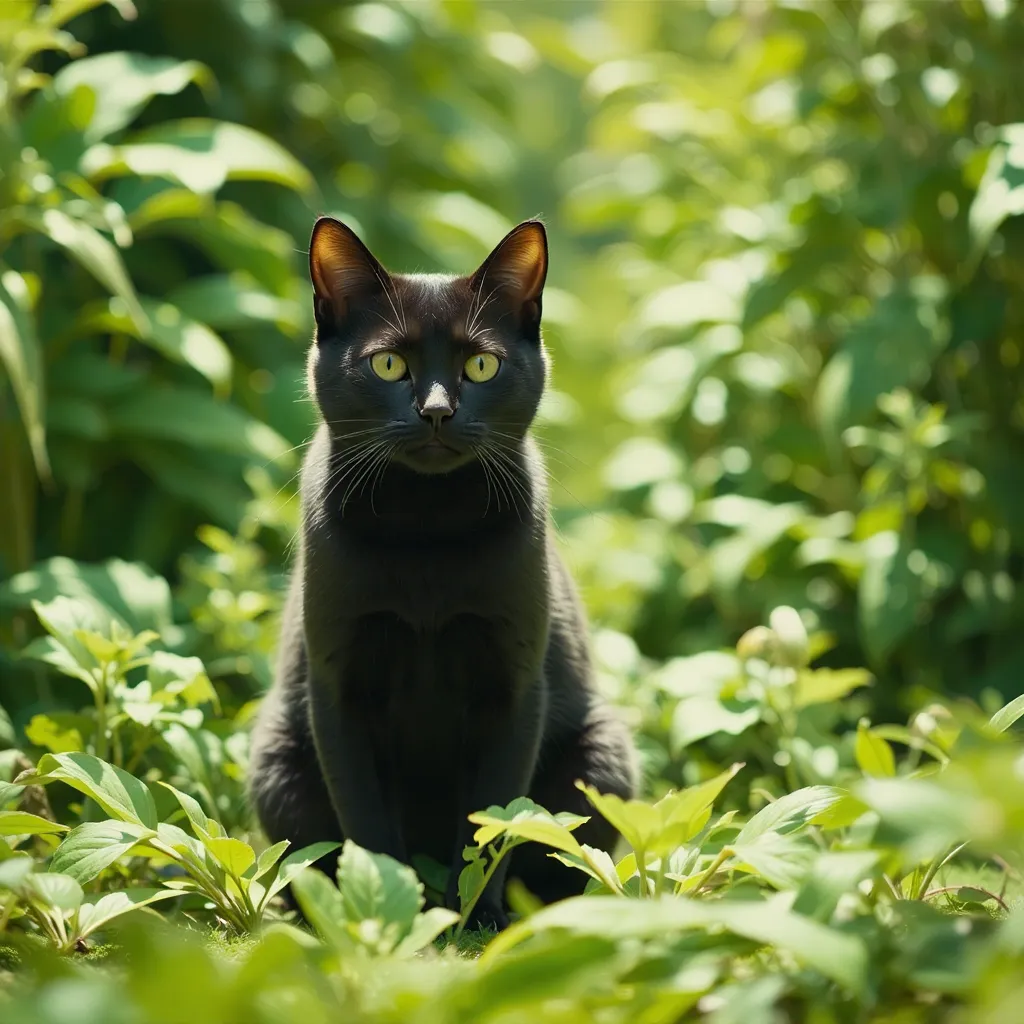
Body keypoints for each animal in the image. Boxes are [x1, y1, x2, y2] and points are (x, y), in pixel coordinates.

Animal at [248, 216, 634, 929]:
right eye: (388, 364)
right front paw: (385, 913)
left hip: (603, 758)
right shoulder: (336, 688)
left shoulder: (515, 687)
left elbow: (495, 816)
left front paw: (476, 917)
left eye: (481, 365)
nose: (435, 410)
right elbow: (365, 822)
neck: (425, 528)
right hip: (275, 765)